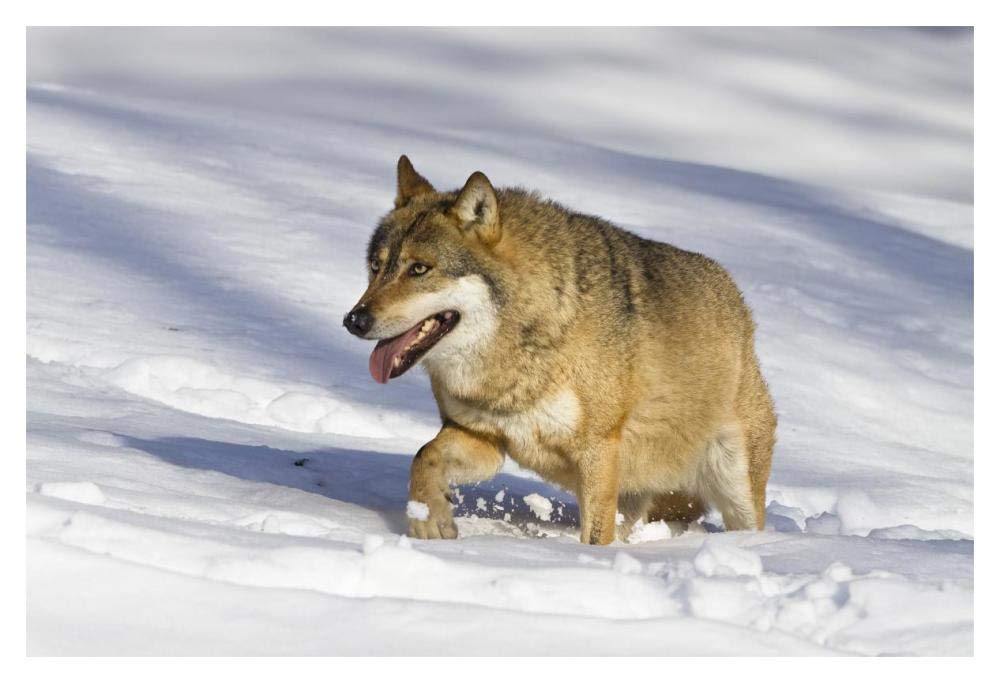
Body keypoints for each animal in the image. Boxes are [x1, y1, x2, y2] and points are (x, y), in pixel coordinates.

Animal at [344, 156, 776, 544]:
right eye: (376, 266)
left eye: (419, 269)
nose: (354, 320)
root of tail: (739, 305)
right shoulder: (482, 438)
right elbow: (423, 456)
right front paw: (429, 522)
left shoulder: (598, 449)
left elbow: (595, 537)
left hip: (733, 484)